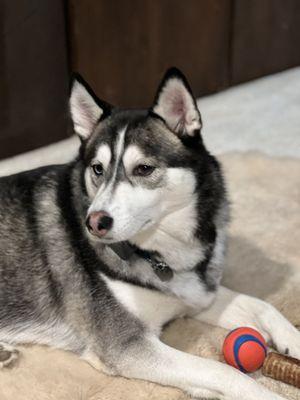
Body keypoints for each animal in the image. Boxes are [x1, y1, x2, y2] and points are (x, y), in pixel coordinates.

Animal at [0, 69, 298, 396]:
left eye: (143, 168)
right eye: (97, 168)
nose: (94, 222)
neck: (159, 252)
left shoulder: (196, 296)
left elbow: (264, 305)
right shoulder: (127, 346)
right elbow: (223, 371)